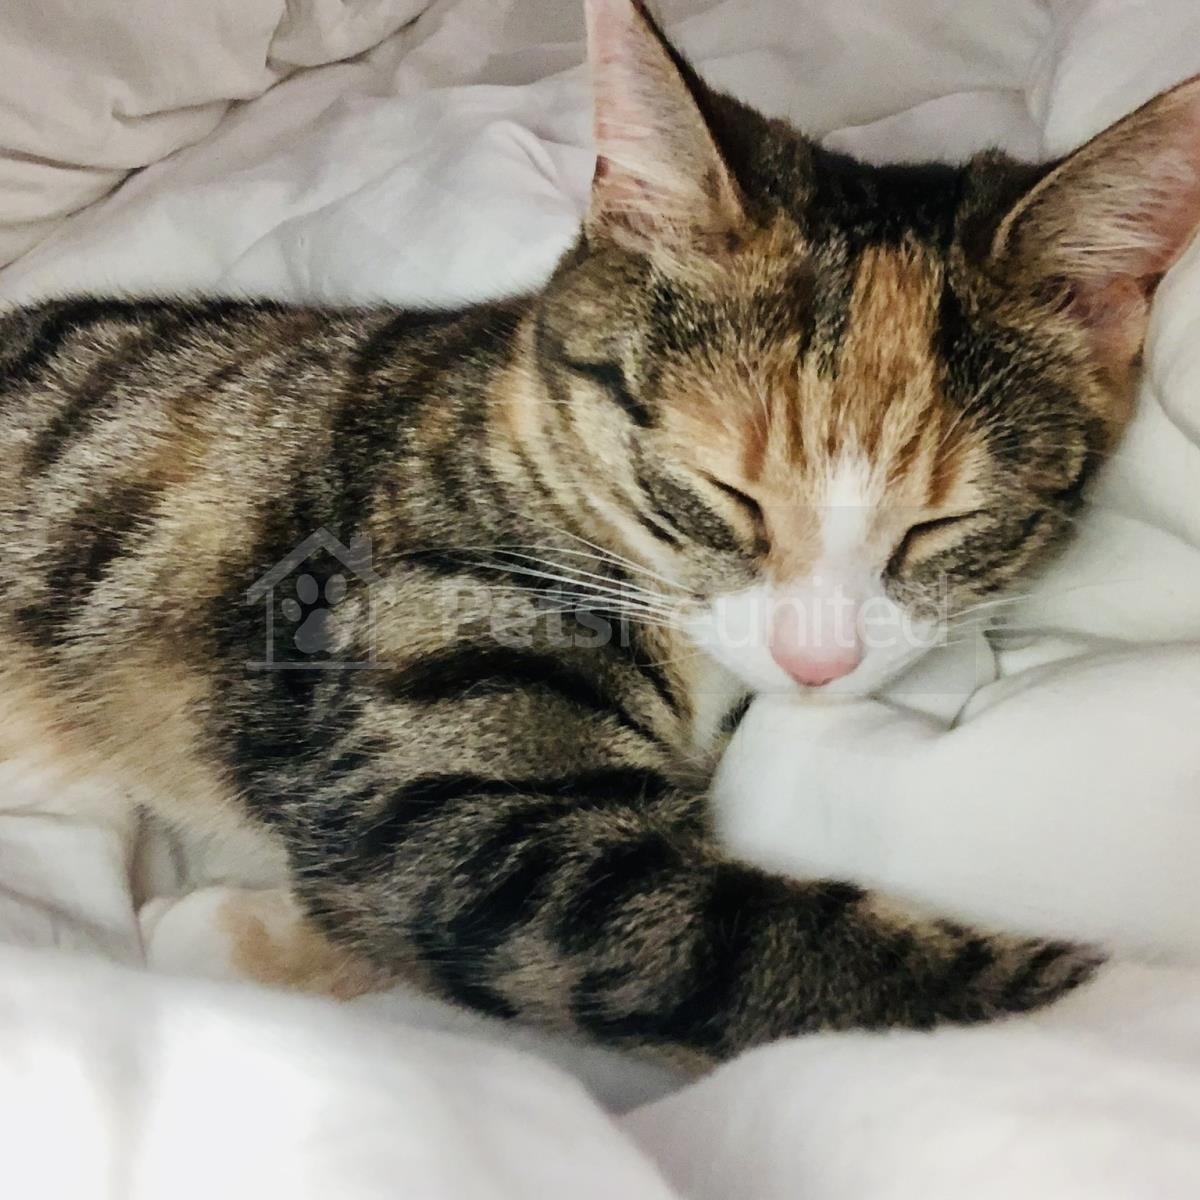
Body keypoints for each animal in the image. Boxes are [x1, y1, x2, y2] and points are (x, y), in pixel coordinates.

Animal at [1, 0, 1198, 1065]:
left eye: (946, 525)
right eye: (725, 492)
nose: (817, 662)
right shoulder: (421, 739)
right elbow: (706, 938)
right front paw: (1131, 1016)